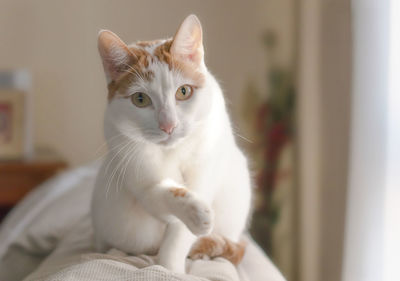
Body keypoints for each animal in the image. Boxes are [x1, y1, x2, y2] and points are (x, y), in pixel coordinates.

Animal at [92, 14, 252, 272]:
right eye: (140, 99)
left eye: (183, 92)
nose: (168, 126)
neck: (171, 152)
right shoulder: (139, 176)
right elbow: (165, 193)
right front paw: (195, 214)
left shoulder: (206, 168)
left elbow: (180, 233)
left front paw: (171, 267)